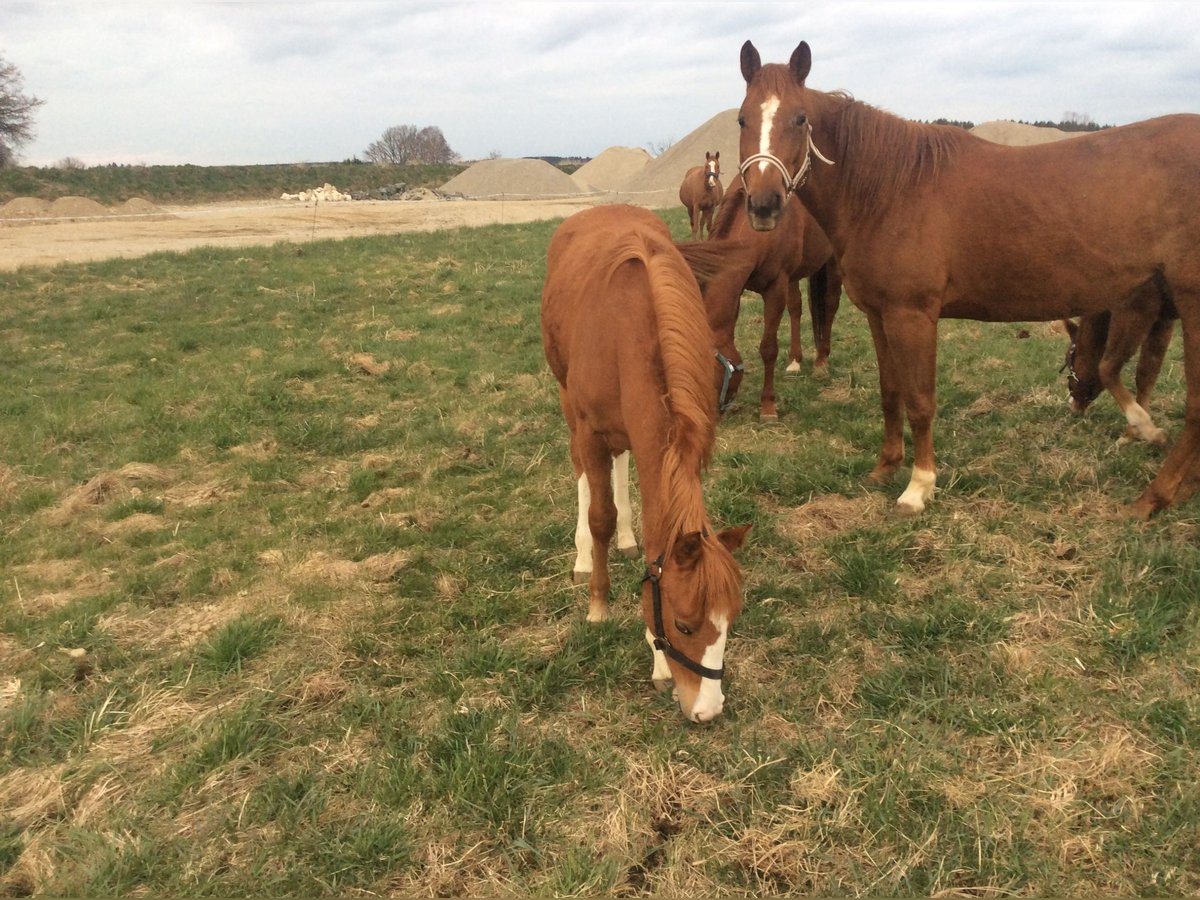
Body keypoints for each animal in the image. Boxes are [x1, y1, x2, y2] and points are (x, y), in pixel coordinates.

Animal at [542, 206, 748, 724]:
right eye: (684, 624)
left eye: (730, 621)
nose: (708, 709)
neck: (627, 331)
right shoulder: (590, 430)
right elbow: (599, 513)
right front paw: (598, 603)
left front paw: (656, 660)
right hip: (568, 403)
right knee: (583, 473)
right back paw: (583, 556)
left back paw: (626, 537)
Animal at [1065, 297, 1176, 448]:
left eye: (1069, 360)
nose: (1073, 408)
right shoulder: (1163, 319)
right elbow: (1147, 373)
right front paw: (1132, 434)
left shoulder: (1133, 310)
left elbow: (1106, 369)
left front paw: (1147, 431)